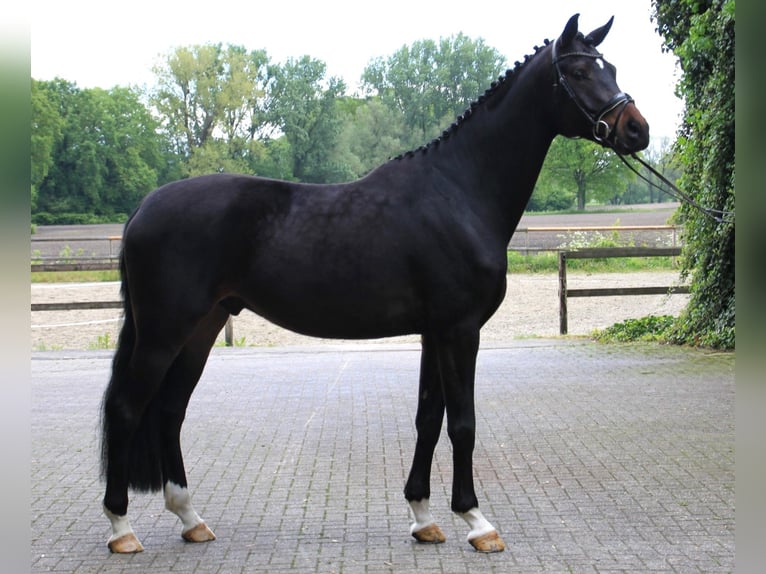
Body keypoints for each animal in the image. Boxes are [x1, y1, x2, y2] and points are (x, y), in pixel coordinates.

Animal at [100, 14, 649, 554]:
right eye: (578, 72)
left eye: (611, 66)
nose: (637, 129)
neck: (459, 191)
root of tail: (142, 209)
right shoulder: (460, 330)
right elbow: (463, 423)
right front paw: (476, 521)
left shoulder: (434, 333)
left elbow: (428, 418)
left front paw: (424, 517)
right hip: (163, 333)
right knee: (127, 409)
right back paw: (121, 529)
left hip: (202, 328)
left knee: (169, 410)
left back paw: (191, 519)